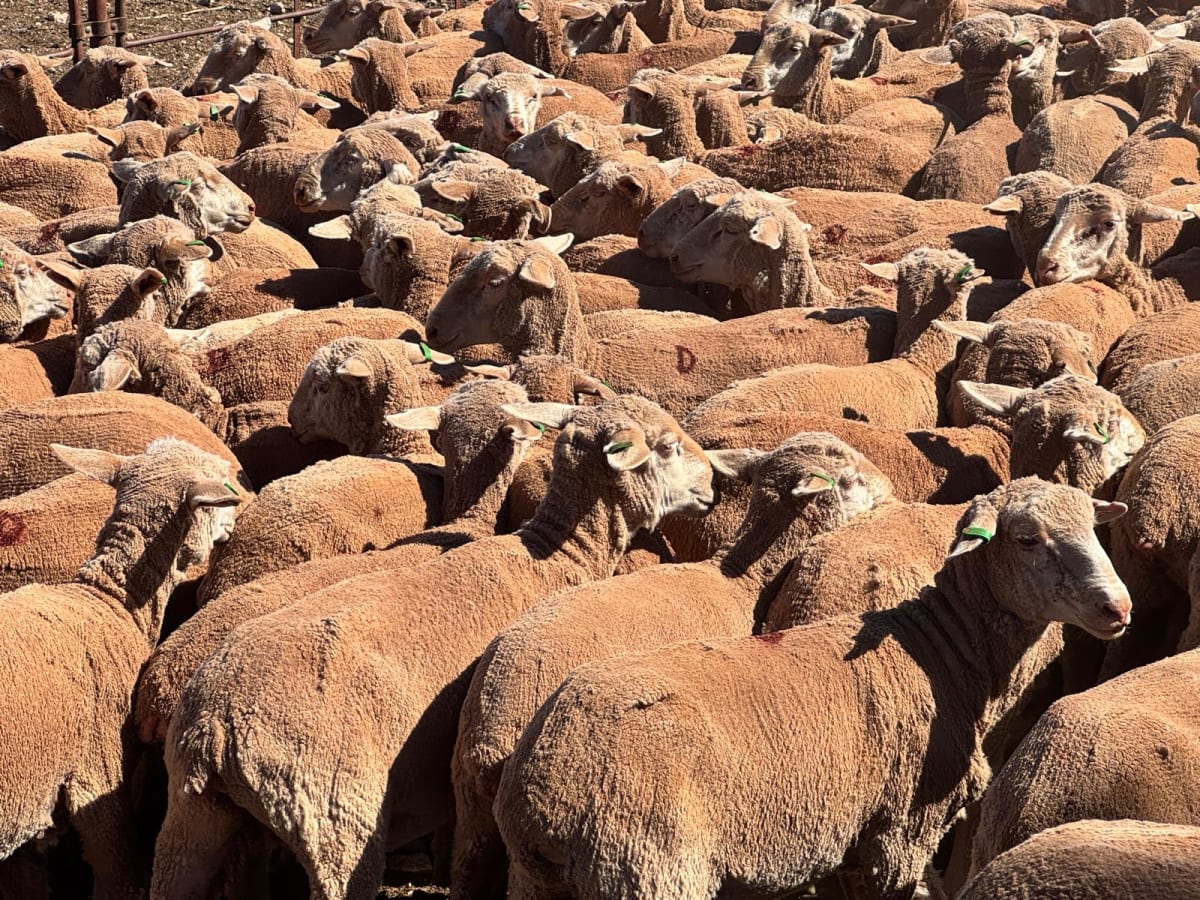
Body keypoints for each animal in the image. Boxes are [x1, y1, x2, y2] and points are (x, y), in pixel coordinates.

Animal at [495, 478, 1131, 900]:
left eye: (1094, 527)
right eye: (1026, 538)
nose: (1118, 607)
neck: (945, 650)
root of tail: (542, 787)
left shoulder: (849, 845)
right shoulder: (898, 836)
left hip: (538, 881)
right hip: (646, 868)